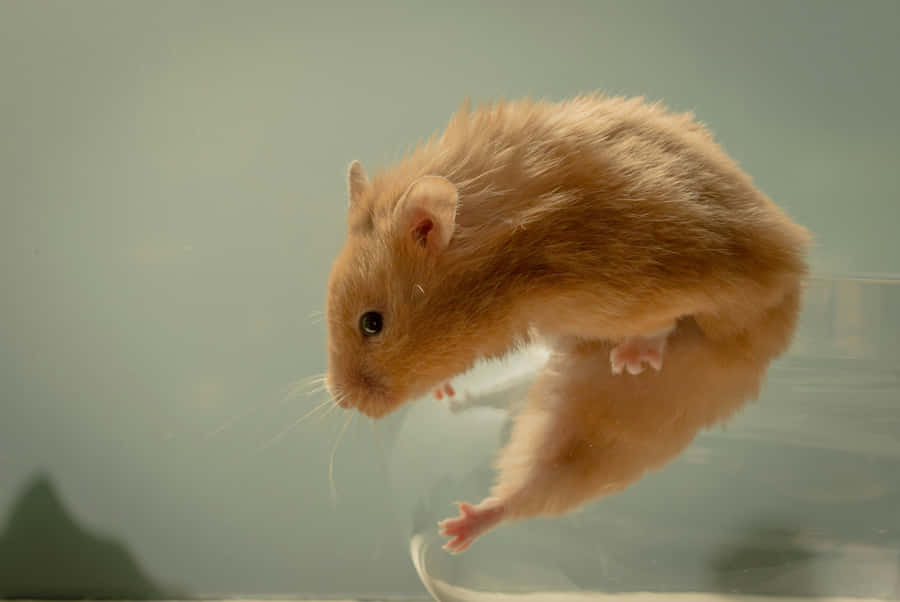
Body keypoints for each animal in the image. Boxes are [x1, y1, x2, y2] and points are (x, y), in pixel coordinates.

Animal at [324, 94, 810, 553]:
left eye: (372, 323)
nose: (342, 400)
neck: (508, 270)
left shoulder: (655, 283)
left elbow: (665, 320)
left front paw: (633, 358)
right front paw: (444, 389)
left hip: (634, 407)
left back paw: (459, 528)